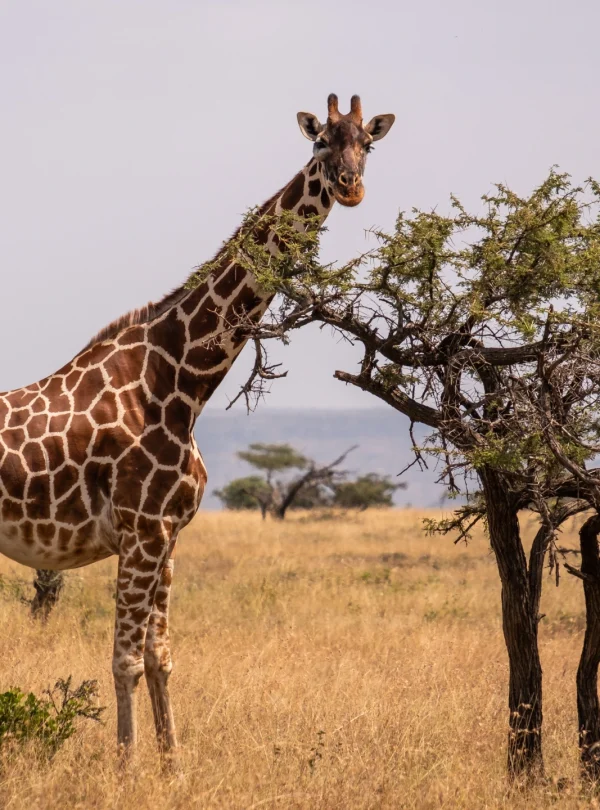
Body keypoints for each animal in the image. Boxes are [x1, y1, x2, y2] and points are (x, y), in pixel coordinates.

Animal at [0, 94, 395, 754]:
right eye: (320, 143)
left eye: (368, 143)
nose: (350, 186)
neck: (180, 383)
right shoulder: (140, 533)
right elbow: (124, 662)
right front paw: (127, 766)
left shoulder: (169, 536)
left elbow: (161, 658)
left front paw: (172, 762)